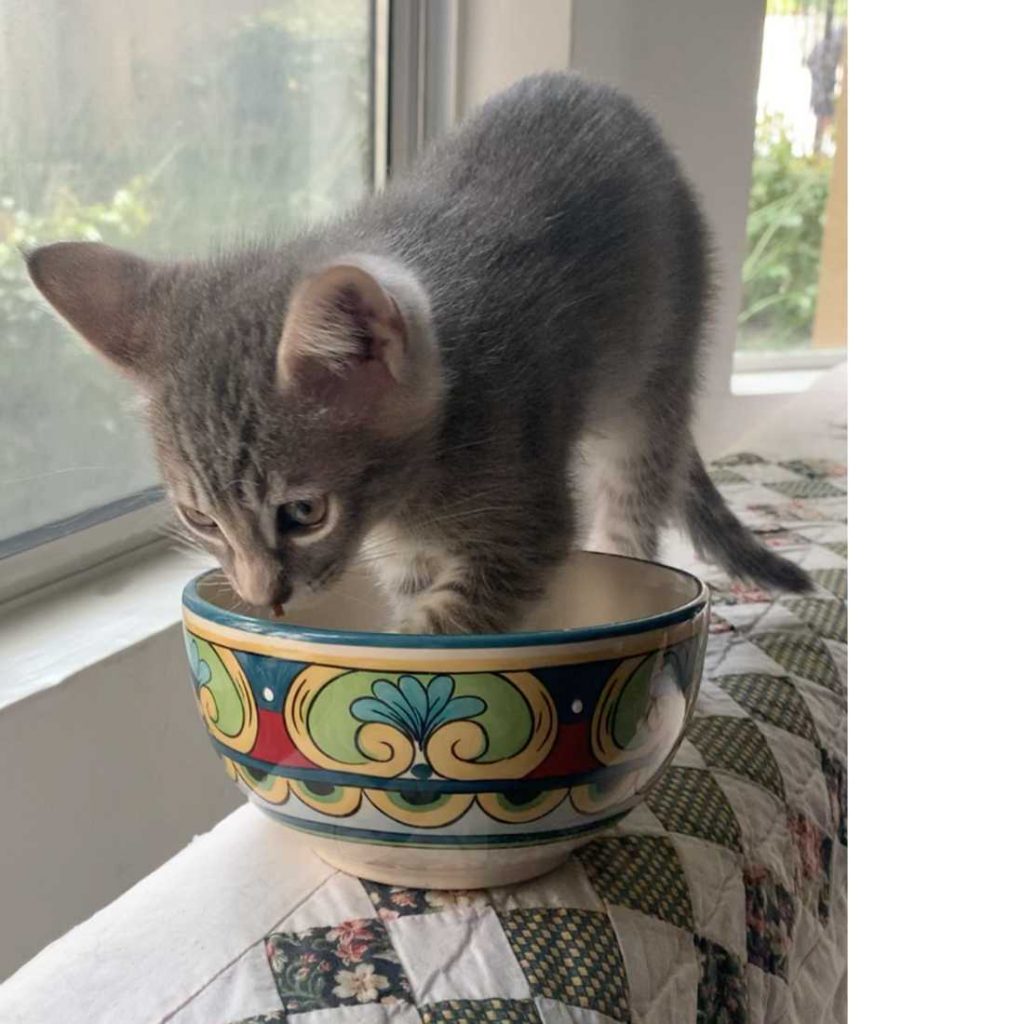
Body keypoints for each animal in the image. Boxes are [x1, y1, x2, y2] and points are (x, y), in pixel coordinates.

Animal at [27, 72, 810, 634]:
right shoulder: (408, 552)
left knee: (633, 501)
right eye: (201, 520)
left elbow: (444, 630)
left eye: (303, 513)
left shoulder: (522, 526)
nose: (265, 599)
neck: (414, 489)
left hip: (655, 381)